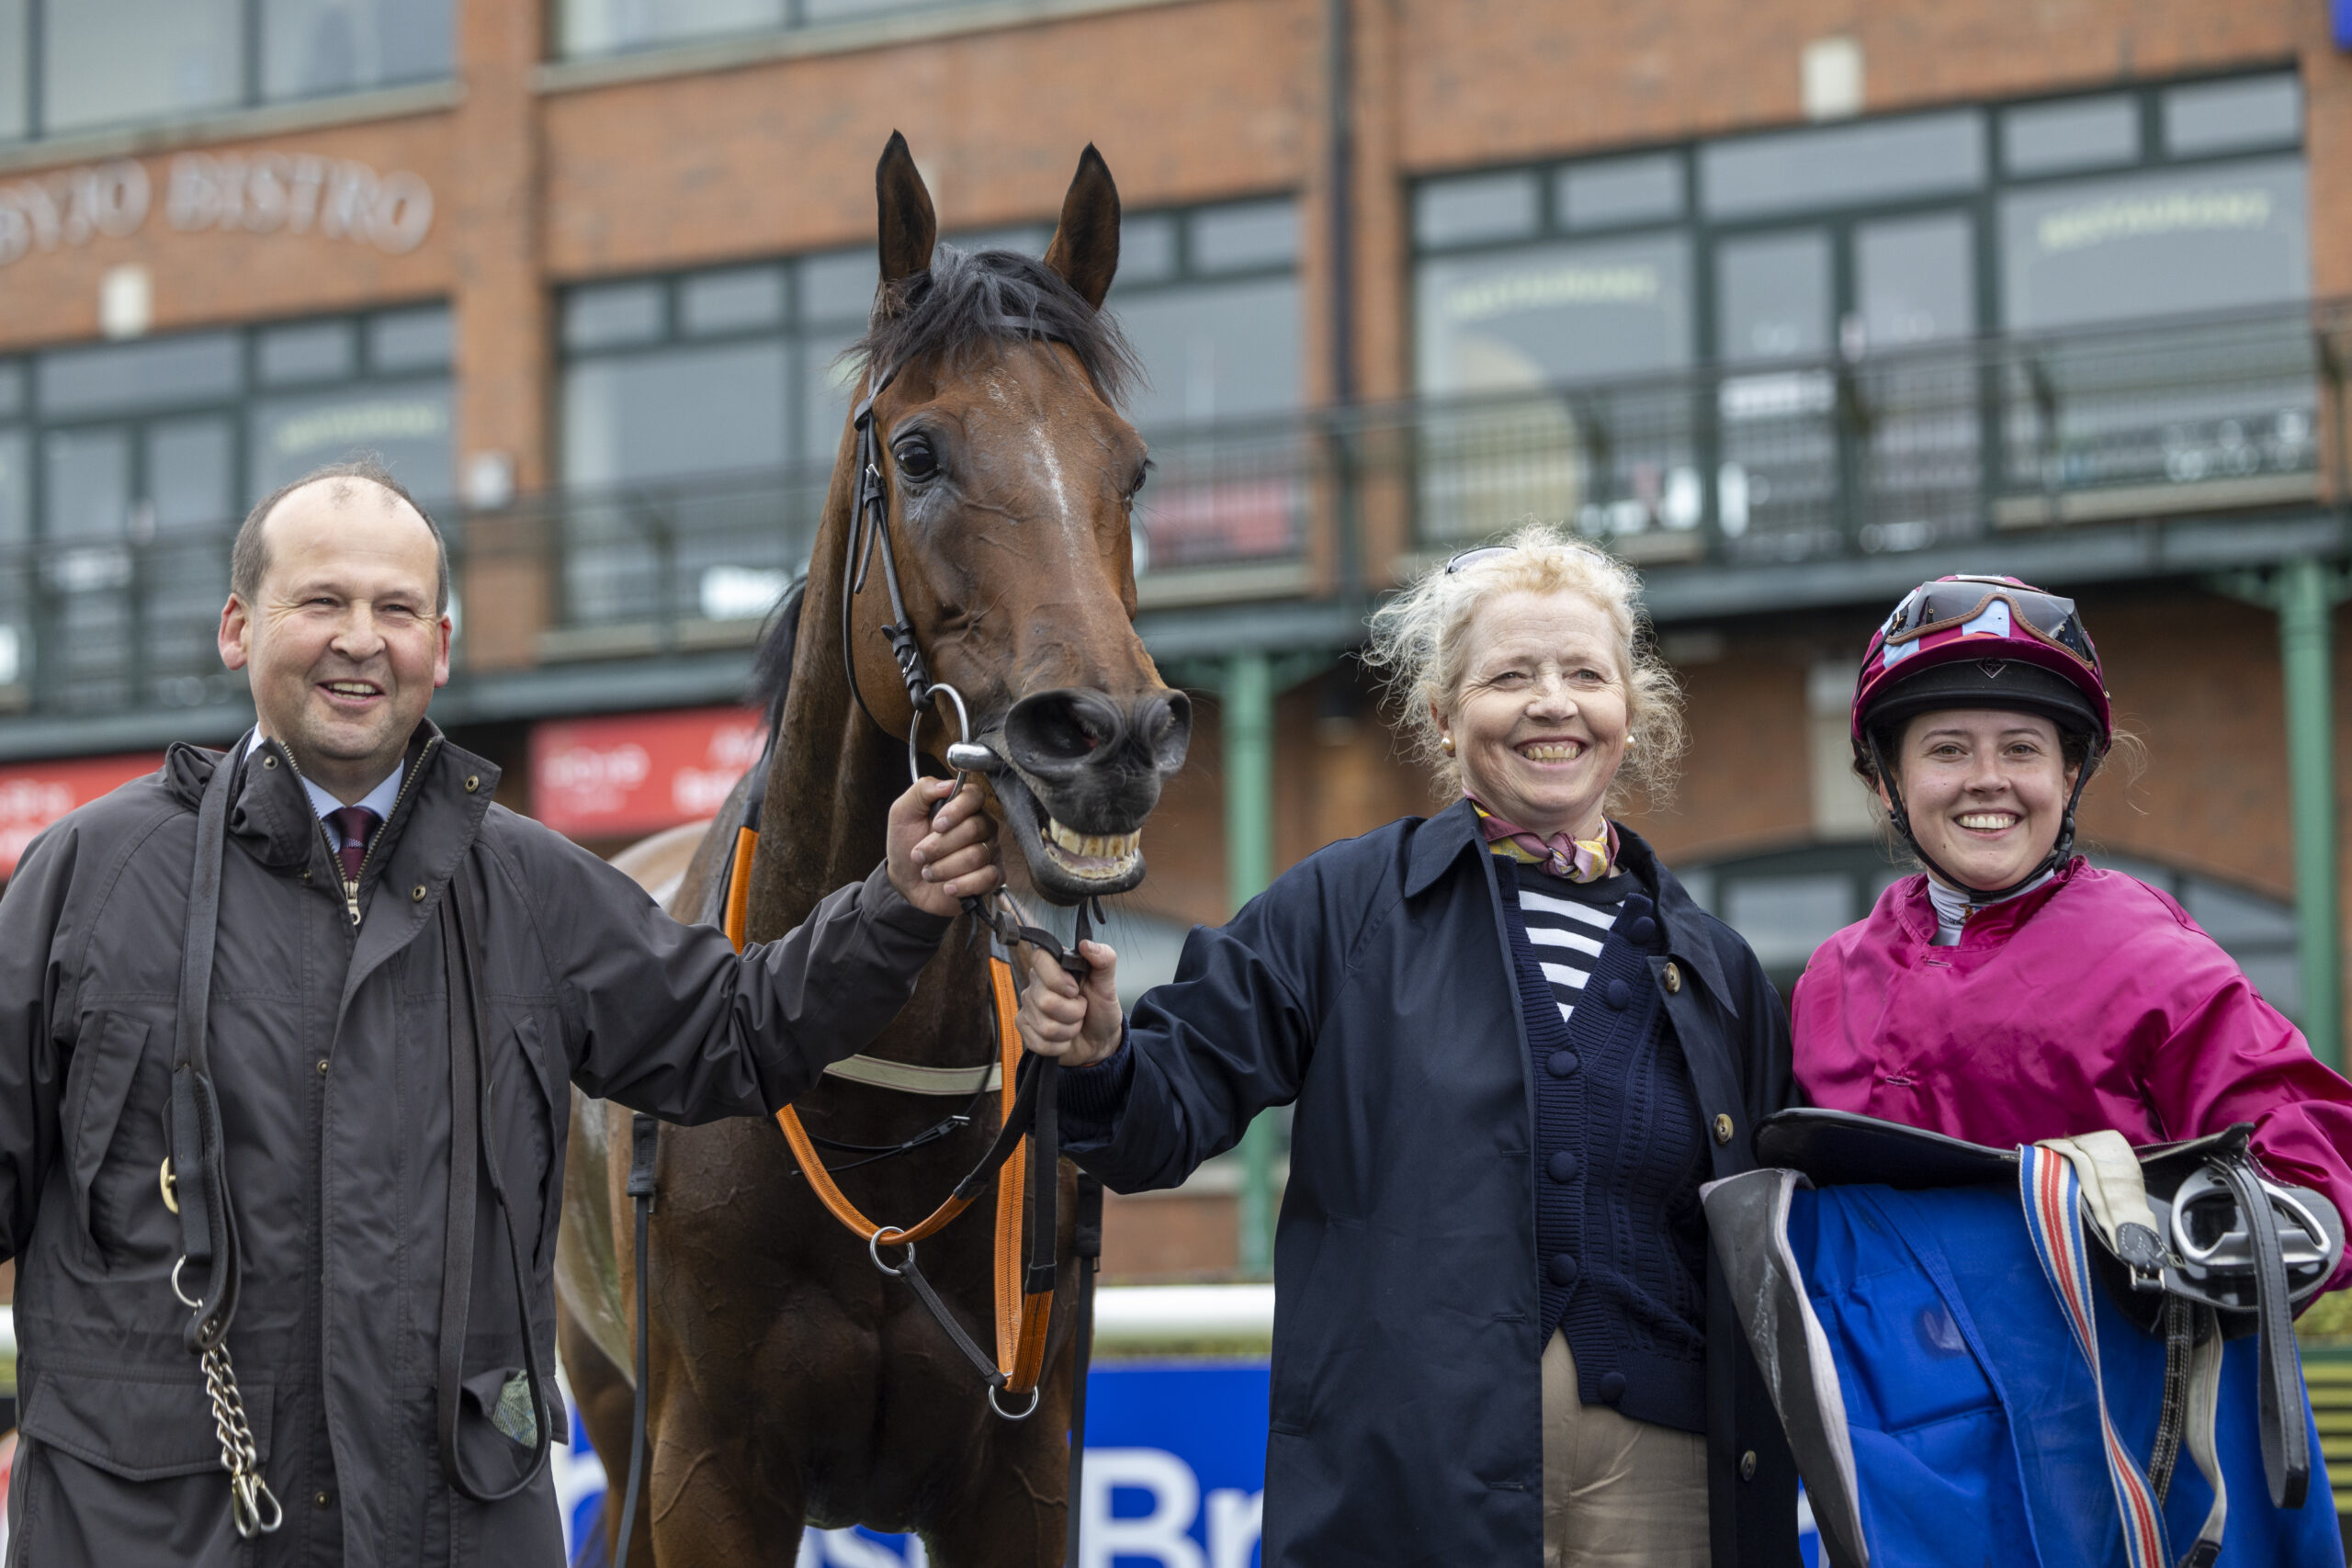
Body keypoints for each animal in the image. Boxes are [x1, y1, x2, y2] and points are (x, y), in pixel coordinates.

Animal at [548, 138, 1185, 1568]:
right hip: (608, 1408)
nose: (1110, 734)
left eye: (1128, 467)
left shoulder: (1026, 1468)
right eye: (920, 448)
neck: (878, 1103)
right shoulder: (707, 1471)